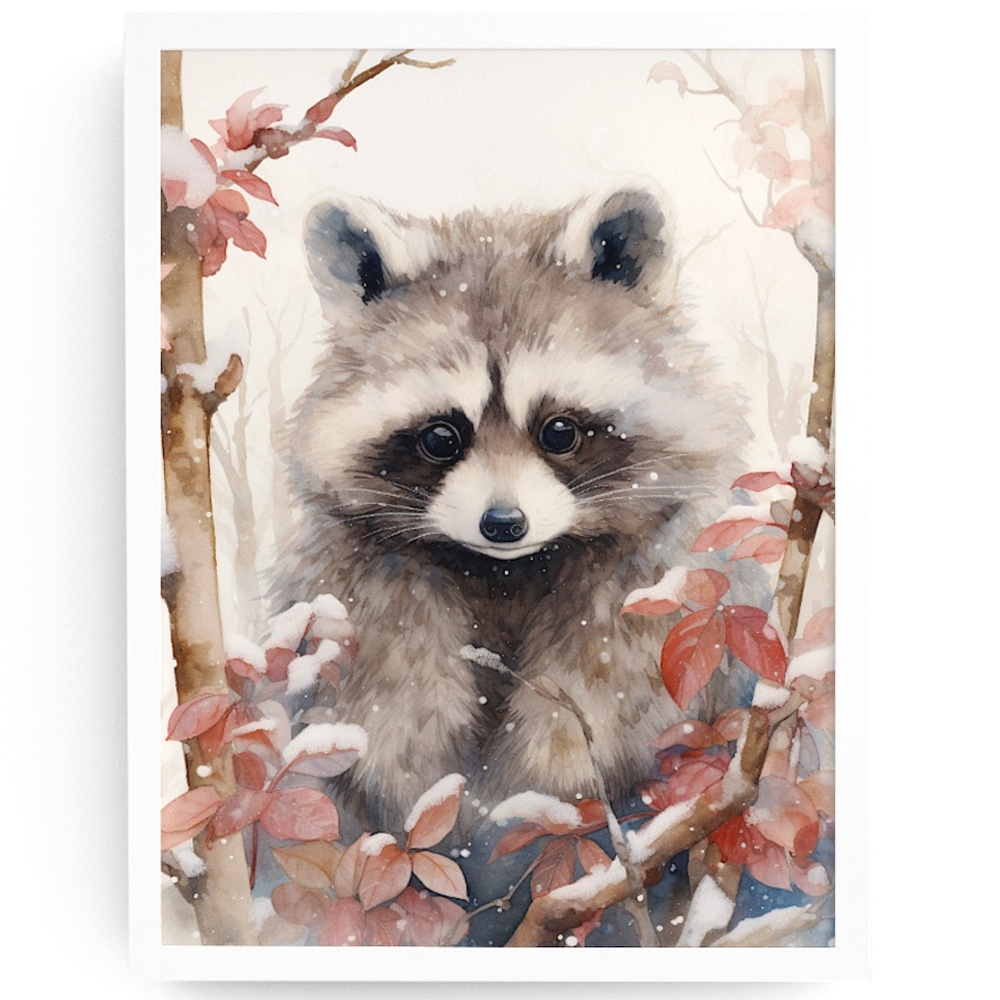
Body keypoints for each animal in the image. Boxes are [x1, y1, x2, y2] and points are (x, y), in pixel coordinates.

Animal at [274, 187, 742, 835]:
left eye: (560, 431)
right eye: (441, 437)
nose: (502, 524)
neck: (504, 571)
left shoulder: (649, 581)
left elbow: (602, 695)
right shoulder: (358, 585)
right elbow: (385, 700)